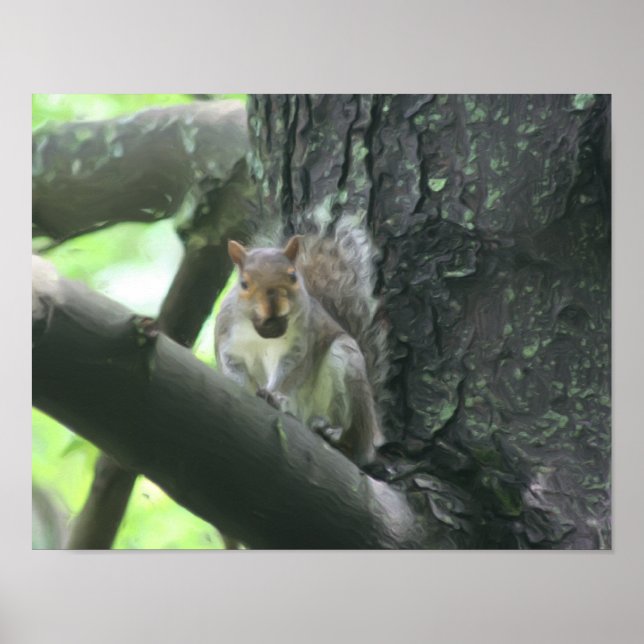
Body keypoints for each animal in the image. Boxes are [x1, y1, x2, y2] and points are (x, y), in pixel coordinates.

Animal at [214, 223, 387, 466]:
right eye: (244, 284)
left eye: (293, 276)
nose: (274, 307)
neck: (263, 335)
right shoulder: (227, 343)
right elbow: (232, 368)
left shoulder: (300, 347)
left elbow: (291, 373)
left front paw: (274, 395)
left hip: (346, 363)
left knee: (355, 441)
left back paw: (336, 435)